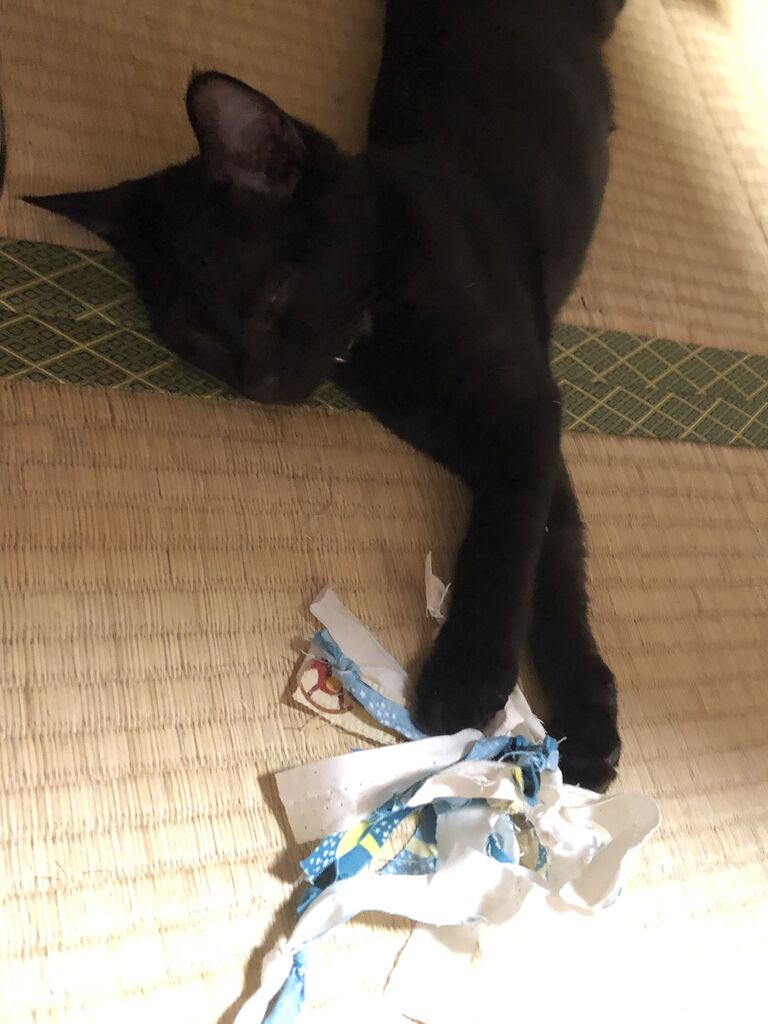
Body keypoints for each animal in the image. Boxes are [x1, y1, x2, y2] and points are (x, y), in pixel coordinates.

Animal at [26, 0, 626, 790]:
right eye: (198, 340)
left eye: (273, 295)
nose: (259, 383)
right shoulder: (487, 435)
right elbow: (552, 552)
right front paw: (582, 722)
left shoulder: (523, 410)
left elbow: (510, 546)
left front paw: (473, 681)